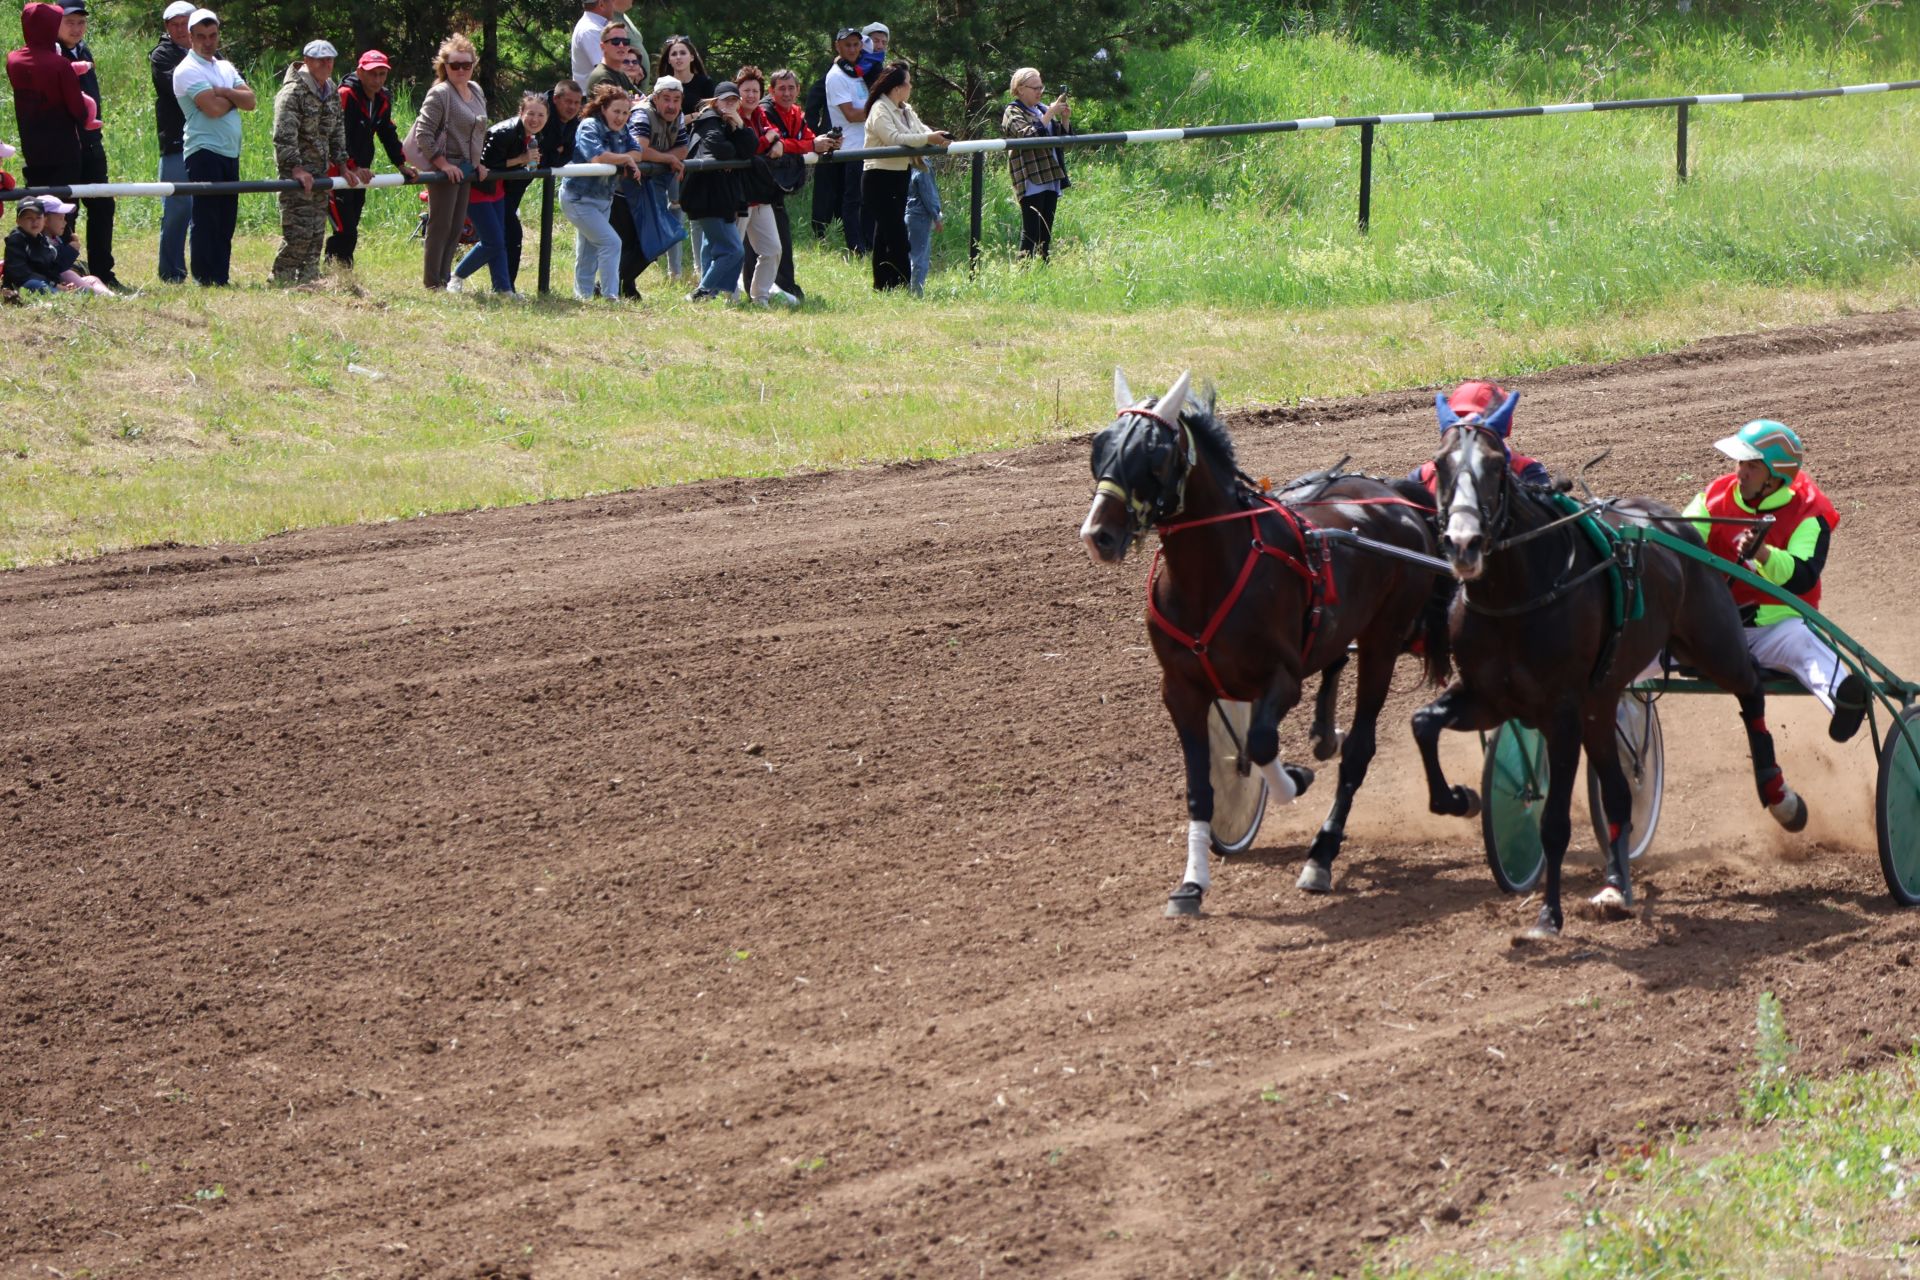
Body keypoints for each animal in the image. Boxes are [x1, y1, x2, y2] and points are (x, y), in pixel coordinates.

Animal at [1075, 376, 1443, 917]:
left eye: (1155, 455)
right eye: (1098, 448)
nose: (1098, 535)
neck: (1209, 577)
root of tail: (1392, 493)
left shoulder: (1282, 679)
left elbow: (1261, 743)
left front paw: (1293, 779)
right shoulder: (1181, 690)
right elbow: (1200, 787)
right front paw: (1191, 883)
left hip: (1384, 639)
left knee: (1359, 750)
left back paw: (1322, 853)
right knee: (1334, 659)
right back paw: (1322, 735)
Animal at [1405, 391, 1804, 940]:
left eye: (1495, 464)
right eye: (1441, 464)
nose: (1463, 543)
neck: (1518, 594)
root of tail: (1673, 522)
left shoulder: (1562, 714)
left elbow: (1553, 823)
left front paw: (1548, 916)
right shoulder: (1487, 697)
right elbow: (1423, 723)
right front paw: (1458, 798)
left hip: (1711, 642)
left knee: (1750, 691)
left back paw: (1779, 794)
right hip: (1604, 698)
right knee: (1618, 793)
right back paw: (1616, 886)